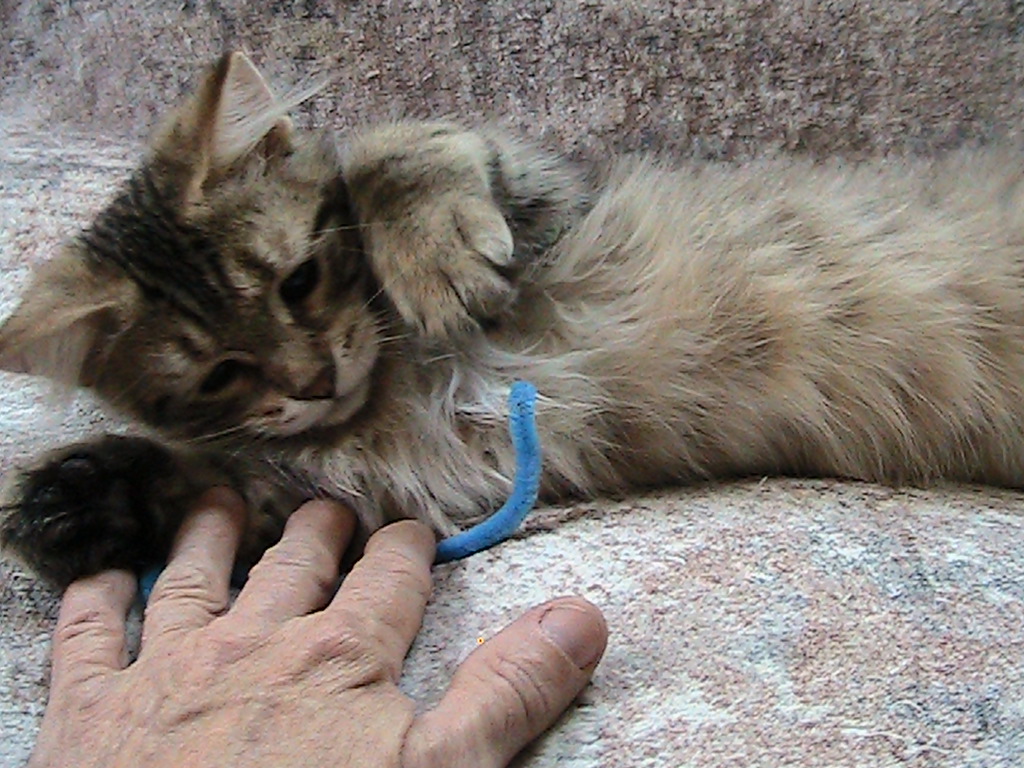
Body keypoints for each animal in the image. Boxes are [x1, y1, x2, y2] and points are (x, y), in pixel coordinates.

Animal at [3, 51, 1024, 587]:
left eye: (300, 282)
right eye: (221, 372)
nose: (315, 382)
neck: (392, 371)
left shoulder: (553, 199)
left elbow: (391, 148)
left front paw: (438, 260)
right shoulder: (377, 486)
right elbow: (220, 483)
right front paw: (71, 501)